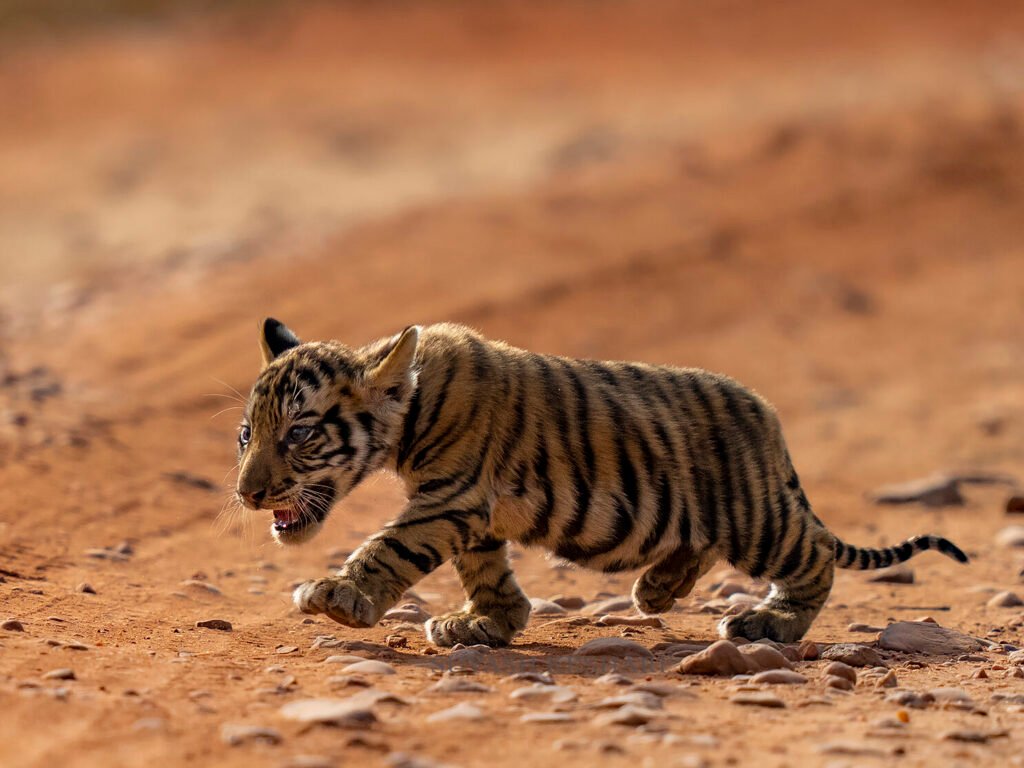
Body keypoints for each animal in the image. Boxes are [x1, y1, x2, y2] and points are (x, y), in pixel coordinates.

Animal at [234, 318, 967, 646]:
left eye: (299, 434)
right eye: (247, 435)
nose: (246, 494)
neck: (407, 413)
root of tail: (767, 417)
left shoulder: (448, 499)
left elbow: (388, 547)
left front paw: (338, 596)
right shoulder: (470, 512)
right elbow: (485, 570)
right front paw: (489, 622)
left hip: (756, 518)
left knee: (812, 554)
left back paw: (771, 621)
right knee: (699, 547)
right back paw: (657, 590)